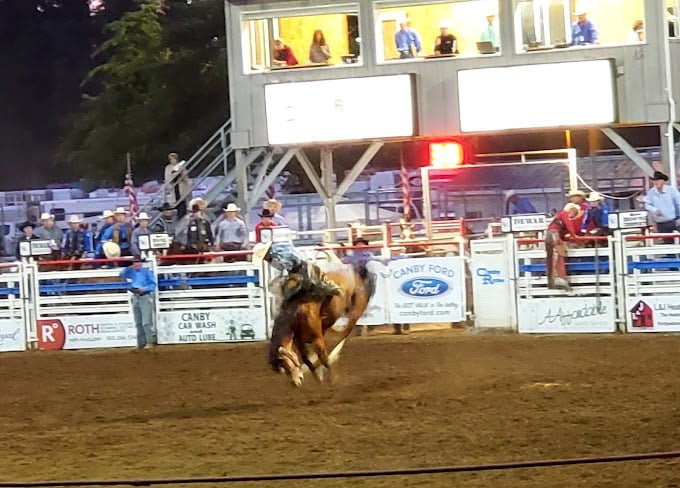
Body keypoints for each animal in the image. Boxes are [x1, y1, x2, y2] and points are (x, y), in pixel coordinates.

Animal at [254, 240, 374, 386]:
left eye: (285, 364)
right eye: (281, 369)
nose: (295, 383)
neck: (295, 315)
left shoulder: (317, 339)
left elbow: (324, 359)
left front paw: (332, 380)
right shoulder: (299, 341)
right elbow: (306, 359)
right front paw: (317, 376)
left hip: (357, 306)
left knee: (347, 330)